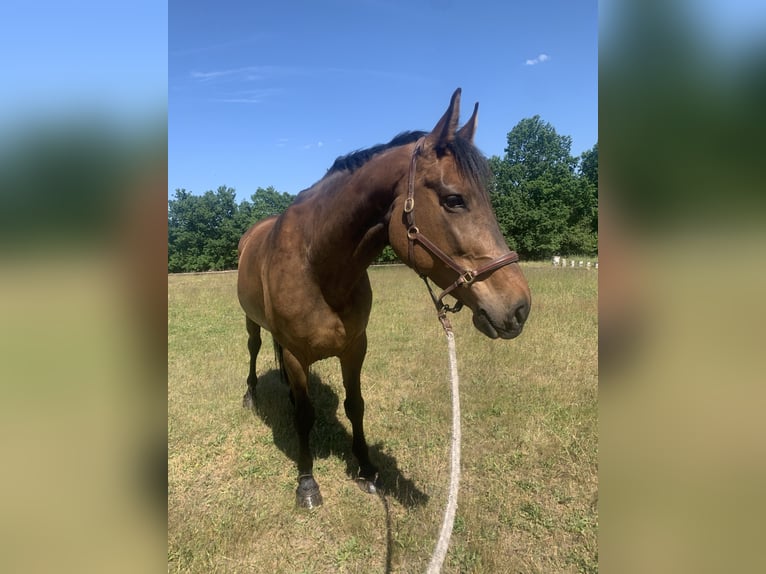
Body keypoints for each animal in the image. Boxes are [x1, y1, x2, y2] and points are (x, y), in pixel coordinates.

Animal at [237, 88, 531, 508]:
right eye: (454, 199)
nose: (519, 308)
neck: (317, 268)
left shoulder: (355, 347)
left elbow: (355, 405)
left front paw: (367, 468)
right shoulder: (295, 354)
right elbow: (306, 417)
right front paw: (307, 483)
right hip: (251, 322)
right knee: (254, 348)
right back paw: (250, 395)